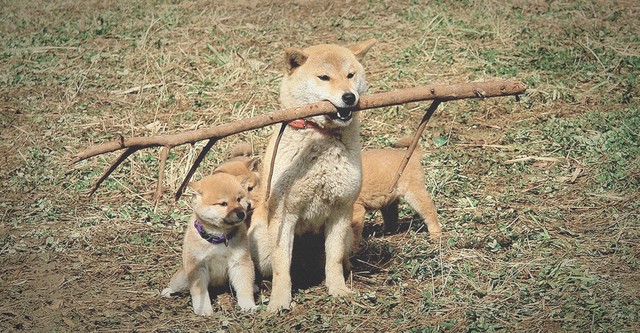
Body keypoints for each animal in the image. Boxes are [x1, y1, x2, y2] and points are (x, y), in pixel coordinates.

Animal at [161, 172, 256, 316]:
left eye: (239, 199)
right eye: (223, 203)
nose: (241, 213)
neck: (219, 239)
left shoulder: (240, 262)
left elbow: (244, 286)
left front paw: (248, 305)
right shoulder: (197, 266)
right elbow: (200, 293)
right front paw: (203, 309)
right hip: (182, 278)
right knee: (176, 286)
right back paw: (168, 291)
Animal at [246, 39, 376, 312]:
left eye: (350, 75)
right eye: (324, 77)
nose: (349, 96)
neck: (321, 138)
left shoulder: (341, 210)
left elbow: (333, 261)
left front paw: (338, 290)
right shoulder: (284, 215)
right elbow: (282, 269)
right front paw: (279, 302)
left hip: (347, 235)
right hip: (261, 241)